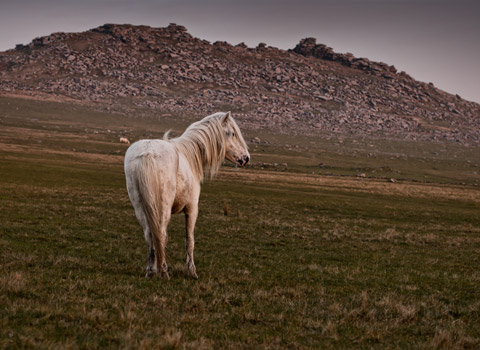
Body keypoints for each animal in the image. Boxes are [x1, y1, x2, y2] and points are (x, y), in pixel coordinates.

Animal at [124, 111, 249, 278]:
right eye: (232, 133)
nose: (246, 158)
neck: (190, 155)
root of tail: (147, 152)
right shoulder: (192, 209)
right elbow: (189, 241)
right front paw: (192, 271)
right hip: (163, 209)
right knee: (161, 235)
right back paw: (163, 271)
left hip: (140, 208)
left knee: (150, 236)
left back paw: (151, 271)